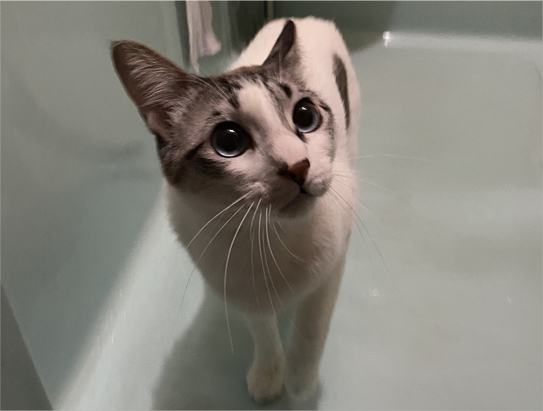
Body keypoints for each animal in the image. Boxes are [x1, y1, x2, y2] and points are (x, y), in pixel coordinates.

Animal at [111, 17, 360, 404]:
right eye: (228, 141)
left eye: (305, 116)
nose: (299, 166)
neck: (270, 237)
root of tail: (304, 20)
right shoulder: (240, 290)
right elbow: (262, 331)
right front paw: (269, 375)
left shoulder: (332, 267)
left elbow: (311, 327)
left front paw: (300, 381)